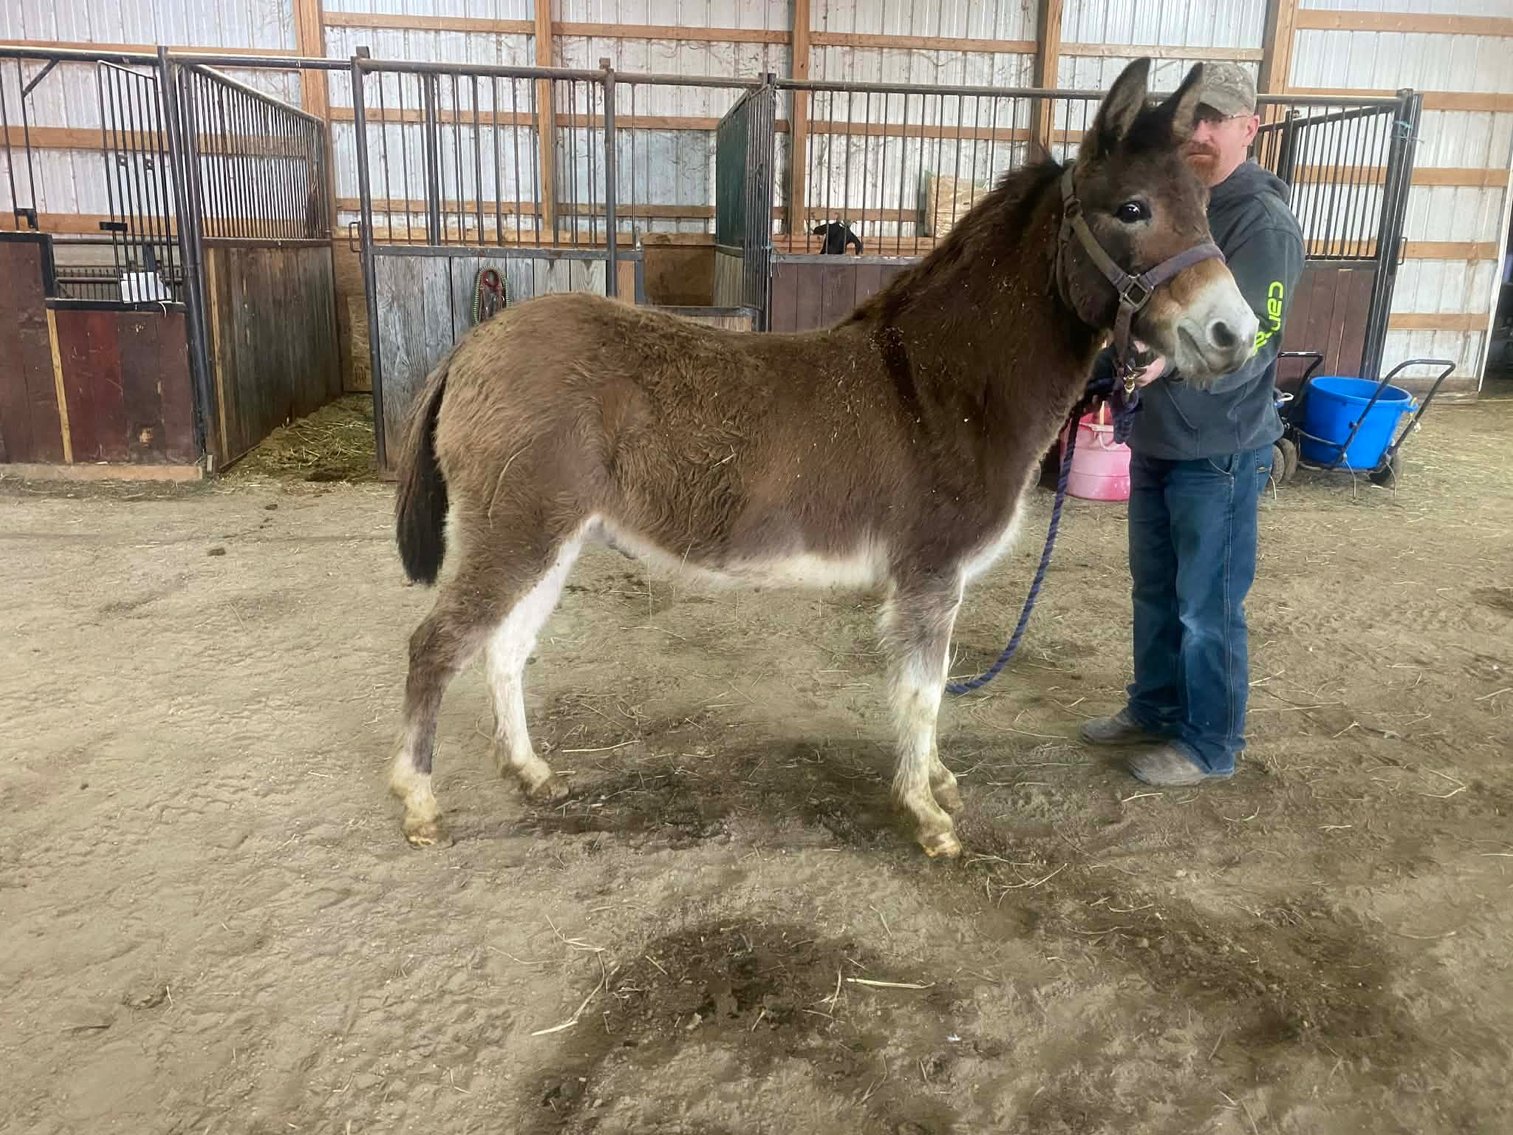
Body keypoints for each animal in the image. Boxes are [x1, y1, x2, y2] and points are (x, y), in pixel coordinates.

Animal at [386, 59, 1258, 858]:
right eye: (1132, 209)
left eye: (1204, 208)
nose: (1236, 336)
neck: (945, 382)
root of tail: (476, 342)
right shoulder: (929, 576)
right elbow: (920, 692)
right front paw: (927, 816)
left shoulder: (932, 583)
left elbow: (929, 687)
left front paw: (936, 782)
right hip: (517, 535)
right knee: (436, 645)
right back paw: (420, 803)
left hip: (551, 540)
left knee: (505, 649)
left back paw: (531, 773)